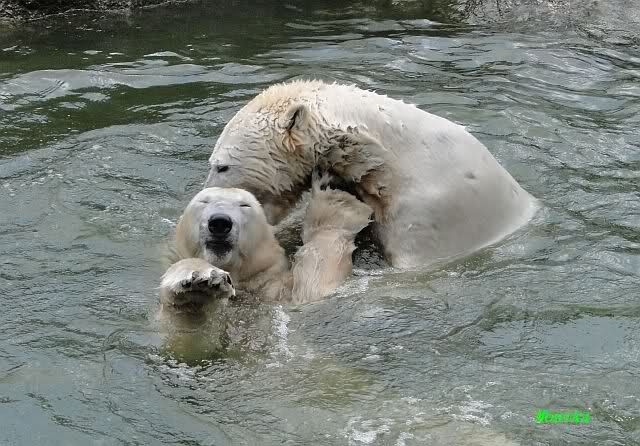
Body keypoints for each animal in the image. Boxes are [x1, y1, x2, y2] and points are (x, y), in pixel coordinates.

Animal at [159, 174, 373, 313]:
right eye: (203, 201)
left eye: (245, 205)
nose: (220, 222)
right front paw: (200, 280)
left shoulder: (272, 290)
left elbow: (311, 292)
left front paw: (336, 201)